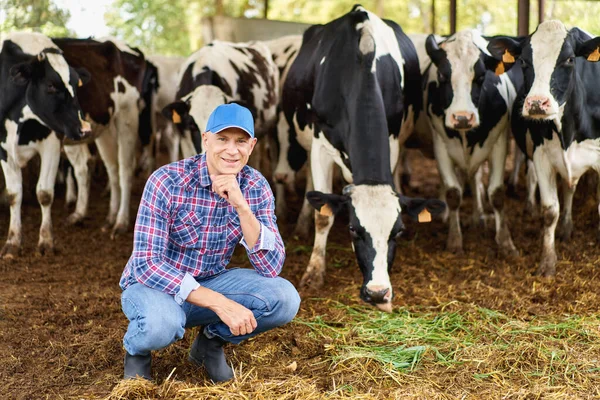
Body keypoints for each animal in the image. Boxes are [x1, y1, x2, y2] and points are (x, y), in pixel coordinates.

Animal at [53, 36, 157, 238]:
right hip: (104, 127)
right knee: (107, 167)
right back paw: (105, 217)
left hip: (128, 115)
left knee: (126, 168)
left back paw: (121, 222)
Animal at [282, 6, 446, 312]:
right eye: (353, 230)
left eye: (398, 232)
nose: (378, 293)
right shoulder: (320, 143)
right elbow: (323, 216)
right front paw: (314, 272)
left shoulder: (392, 139)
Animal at [414, 30, 524, 256]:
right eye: (442, 76)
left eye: (481, 76)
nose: (462, 118)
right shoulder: (441, 145)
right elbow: (453, 193)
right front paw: (454, 240)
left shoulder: (499, 142)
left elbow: (496, 194)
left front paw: (506, 242)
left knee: (476, 179)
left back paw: (478, 216)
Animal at [490, 20, 600, 276]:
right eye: (523, 61)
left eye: (569, 59)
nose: (537, 103)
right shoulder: (542, 157)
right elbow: (550, 211)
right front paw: (548, 262)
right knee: (567, 188)